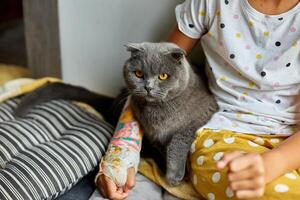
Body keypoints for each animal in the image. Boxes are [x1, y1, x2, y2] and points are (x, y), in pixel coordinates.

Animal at [14, 41, 218, 186]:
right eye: (138, 74)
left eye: (163, 76)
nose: (148, 87)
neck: (159, 113)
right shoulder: (152, 134)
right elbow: (162, 147)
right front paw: (171, 172)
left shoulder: (201, 116)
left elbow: (178, 140)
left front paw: (174, 175)